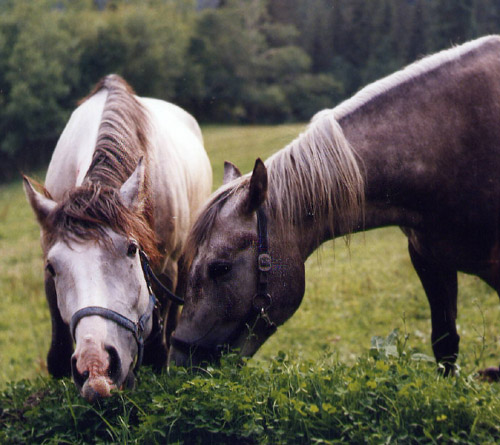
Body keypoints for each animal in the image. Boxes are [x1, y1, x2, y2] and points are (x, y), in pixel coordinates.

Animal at [24, 74, 212, 400]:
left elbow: (157, 350)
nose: (95, 365)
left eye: (131, 249)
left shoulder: (166, 270)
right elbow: (56, 356)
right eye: (52, 267)